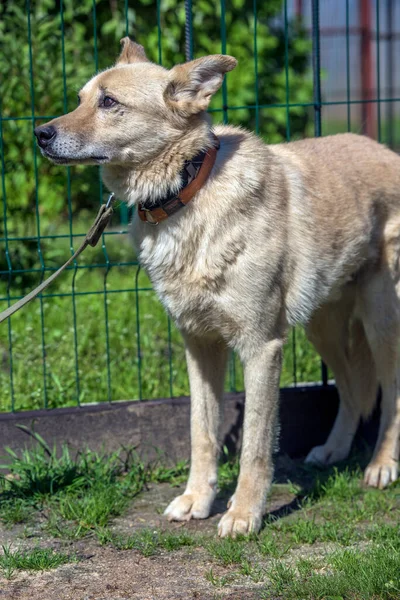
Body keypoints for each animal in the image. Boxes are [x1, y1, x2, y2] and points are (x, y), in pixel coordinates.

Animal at [35, 41, 400, 540]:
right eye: (80, 99)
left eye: (109, 102)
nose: (40, 133)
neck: (186, 191)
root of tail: (384, 148)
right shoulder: (199, 345)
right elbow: (201, 432)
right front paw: (196, 500)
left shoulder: (262, 348)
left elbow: (254, 447)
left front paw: (244, 514)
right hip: (322, 326)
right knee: (352, 388)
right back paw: (335, 450)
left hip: (381, 321)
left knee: (391, 393)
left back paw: (382, 465)